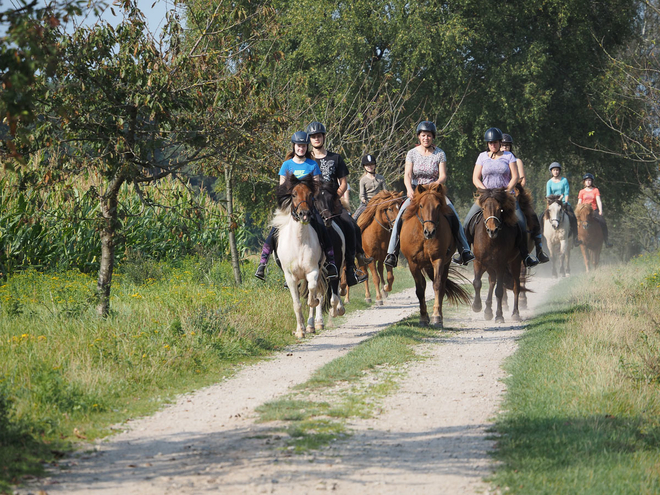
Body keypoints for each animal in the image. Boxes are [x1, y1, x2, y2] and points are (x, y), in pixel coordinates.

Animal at [398, 184, 470, 328]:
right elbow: (420, 289)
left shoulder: (439, 260)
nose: (430, 232)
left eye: (438, 206)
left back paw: (440, 317)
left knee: (442, 286)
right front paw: (423, 318)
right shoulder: (413, 263)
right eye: (420, 205)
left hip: (446, 263)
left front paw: (436, 317)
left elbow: (437, 286)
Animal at [472, 188, 524, 324]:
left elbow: (499, 291)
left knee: (516, 286)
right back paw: (487, 311)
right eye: (483, 208)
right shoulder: (478, 262)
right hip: (490, 266)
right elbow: (477, 282)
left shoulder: (500, 265)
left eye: (500, 209)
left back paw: (515, 313)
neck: (491, 241)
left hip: (515, 262)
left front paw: (499, 316)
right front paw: (476, 306)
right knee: (491, 281)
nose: (492, 230)